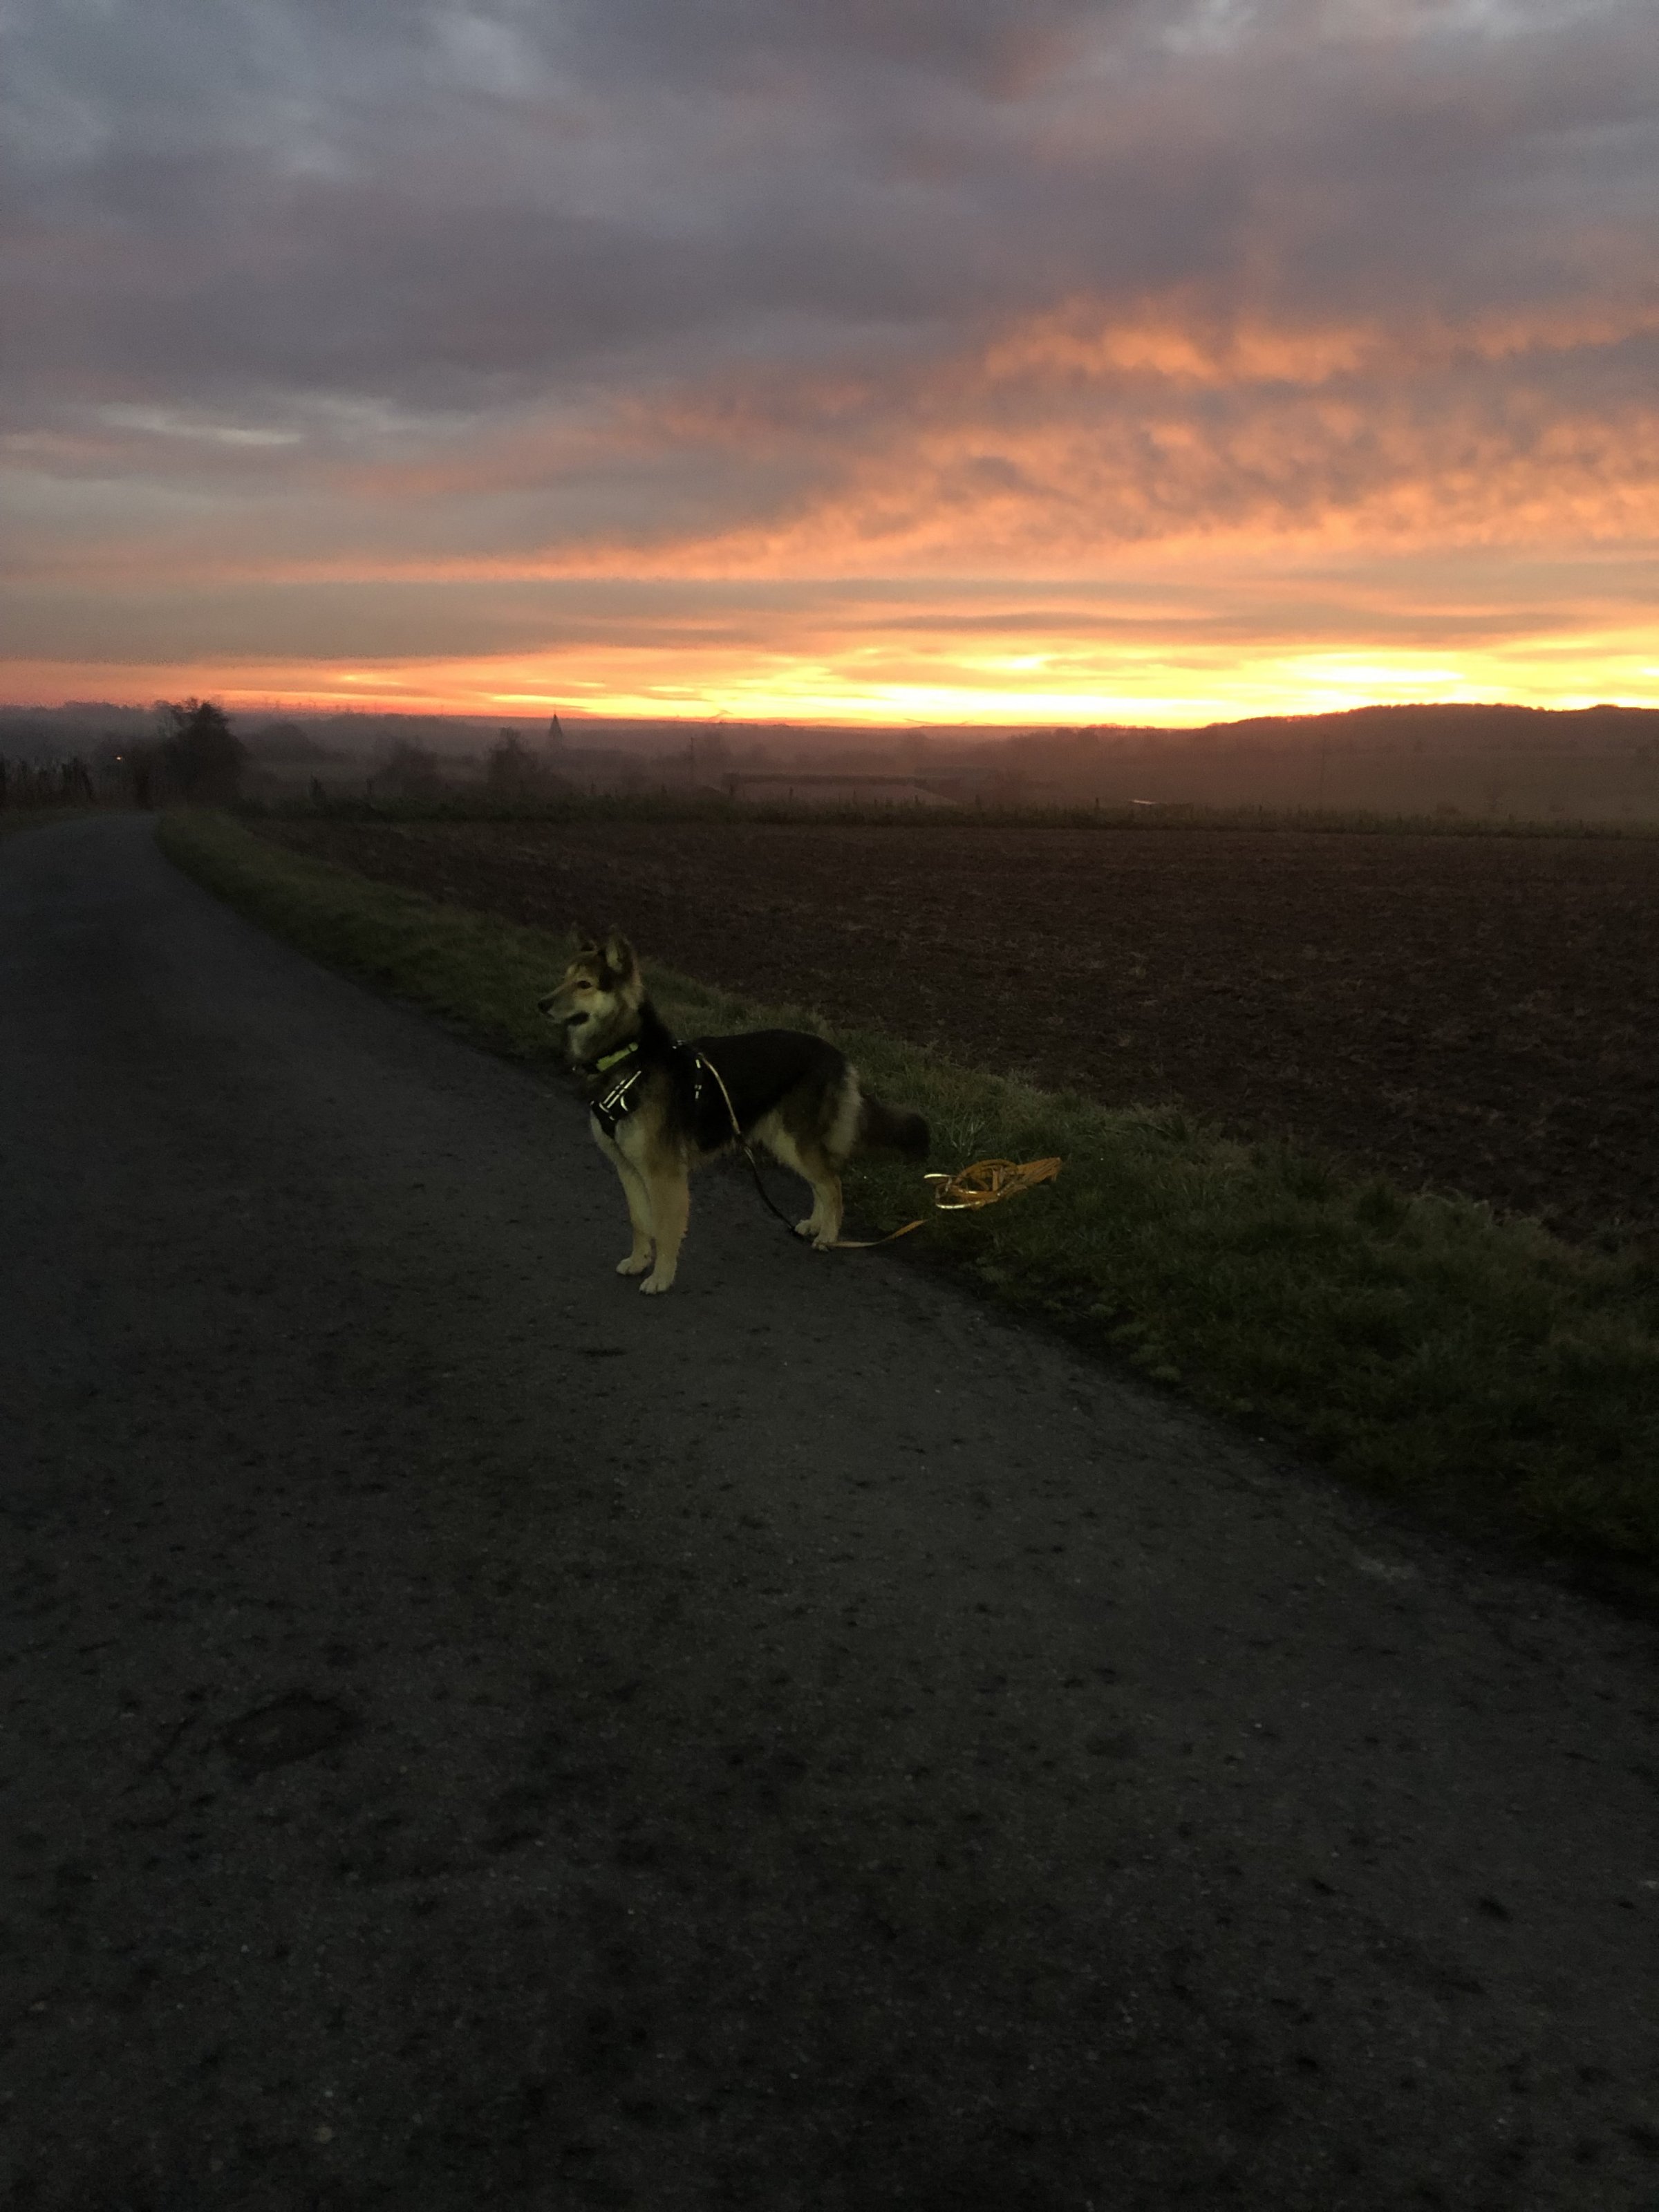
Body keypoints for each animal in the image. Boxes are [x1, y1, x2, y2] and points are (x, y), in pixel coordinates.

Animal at [539, 931, 929, 1294]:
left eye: (585, 984)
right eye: (563, 977)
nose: (541, 1004)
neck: (628, 1055)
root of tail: (839, 1057)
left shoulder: (663, 1173)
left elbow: (664, 1229)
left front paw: (661, 1278)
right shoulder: (628, 1168)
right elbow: (640, 1222)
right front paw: (638, 1262)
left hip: (793, 1140)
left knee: (832, 1185)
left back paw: (828, 1237)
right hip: (785, 1141)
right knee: (821, 1183)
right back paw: (814, 1224)